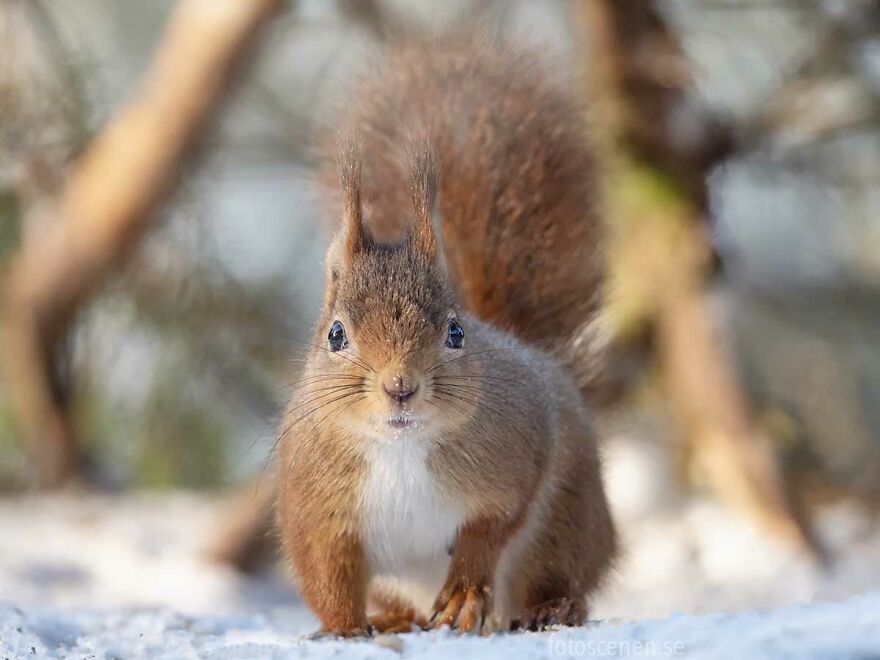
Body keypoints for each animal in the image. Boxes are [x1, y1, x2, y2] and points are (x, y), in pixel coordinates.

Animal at [277, 34, 617, 637]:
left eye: (455, 332)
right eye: (336, 335)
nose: (400, 387)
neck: (400, 448)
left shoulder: (516, 459)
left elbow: (490, 528)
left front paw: (462, 594)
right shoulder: (315, 510)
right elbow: (326, 575)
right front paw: (342, 628)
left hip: (568, 523)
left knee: (560, 573)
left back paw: (553, 607)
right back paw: (393, 619)